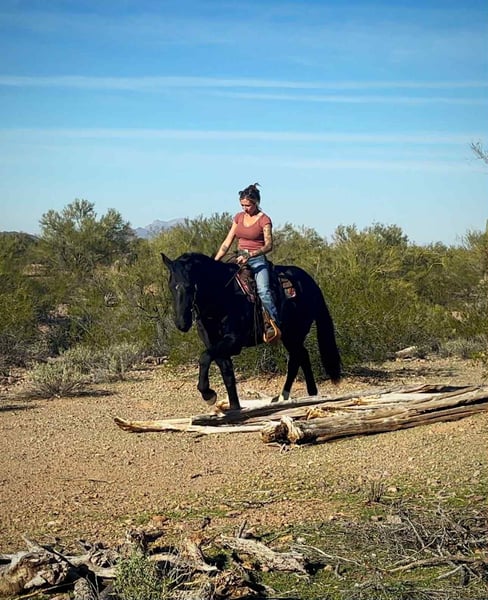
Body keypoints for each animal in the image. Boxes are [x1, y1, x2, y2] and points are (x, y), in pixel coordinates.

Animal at [161, 252, 341, 410]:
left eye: (190, 287)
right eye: (170, 287)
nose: (182, 323)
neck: (222, 295)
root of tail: (311, 282)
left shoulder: (233, 341)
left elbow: (204, 357)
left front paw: (208, 394)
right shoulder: (214, 343)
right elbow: (227, 372)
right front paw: (234, 407)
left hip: (294, 334)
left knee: (296, 359)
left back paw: (285, 396)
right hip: (291, 336)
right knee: (302, 356)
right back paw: (310, 394)